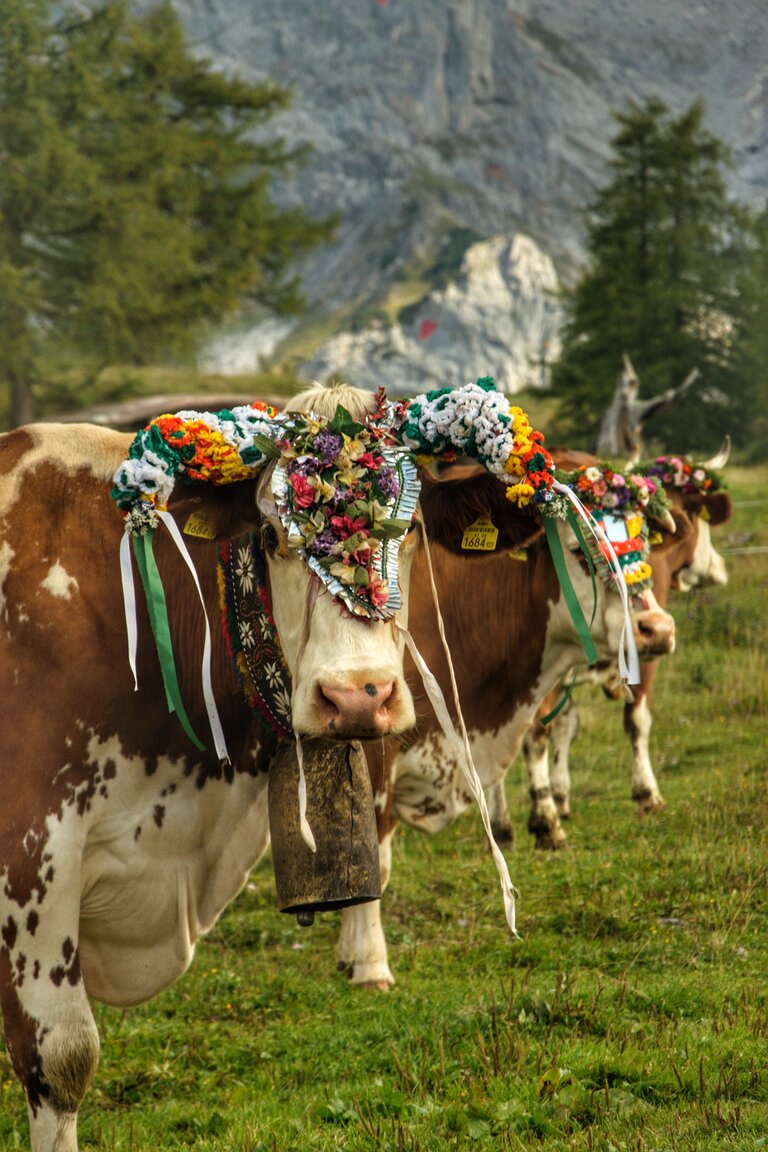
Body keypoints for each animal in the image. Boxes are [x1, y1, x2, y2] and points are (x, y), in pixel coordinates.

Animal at [336, 463, 677, 986]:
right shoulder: (373, 741)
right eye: (579, 549)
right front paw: (370, 963)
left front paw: (347, 952)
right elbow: (374, 852)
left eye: (642, 546)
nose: (656, 630)